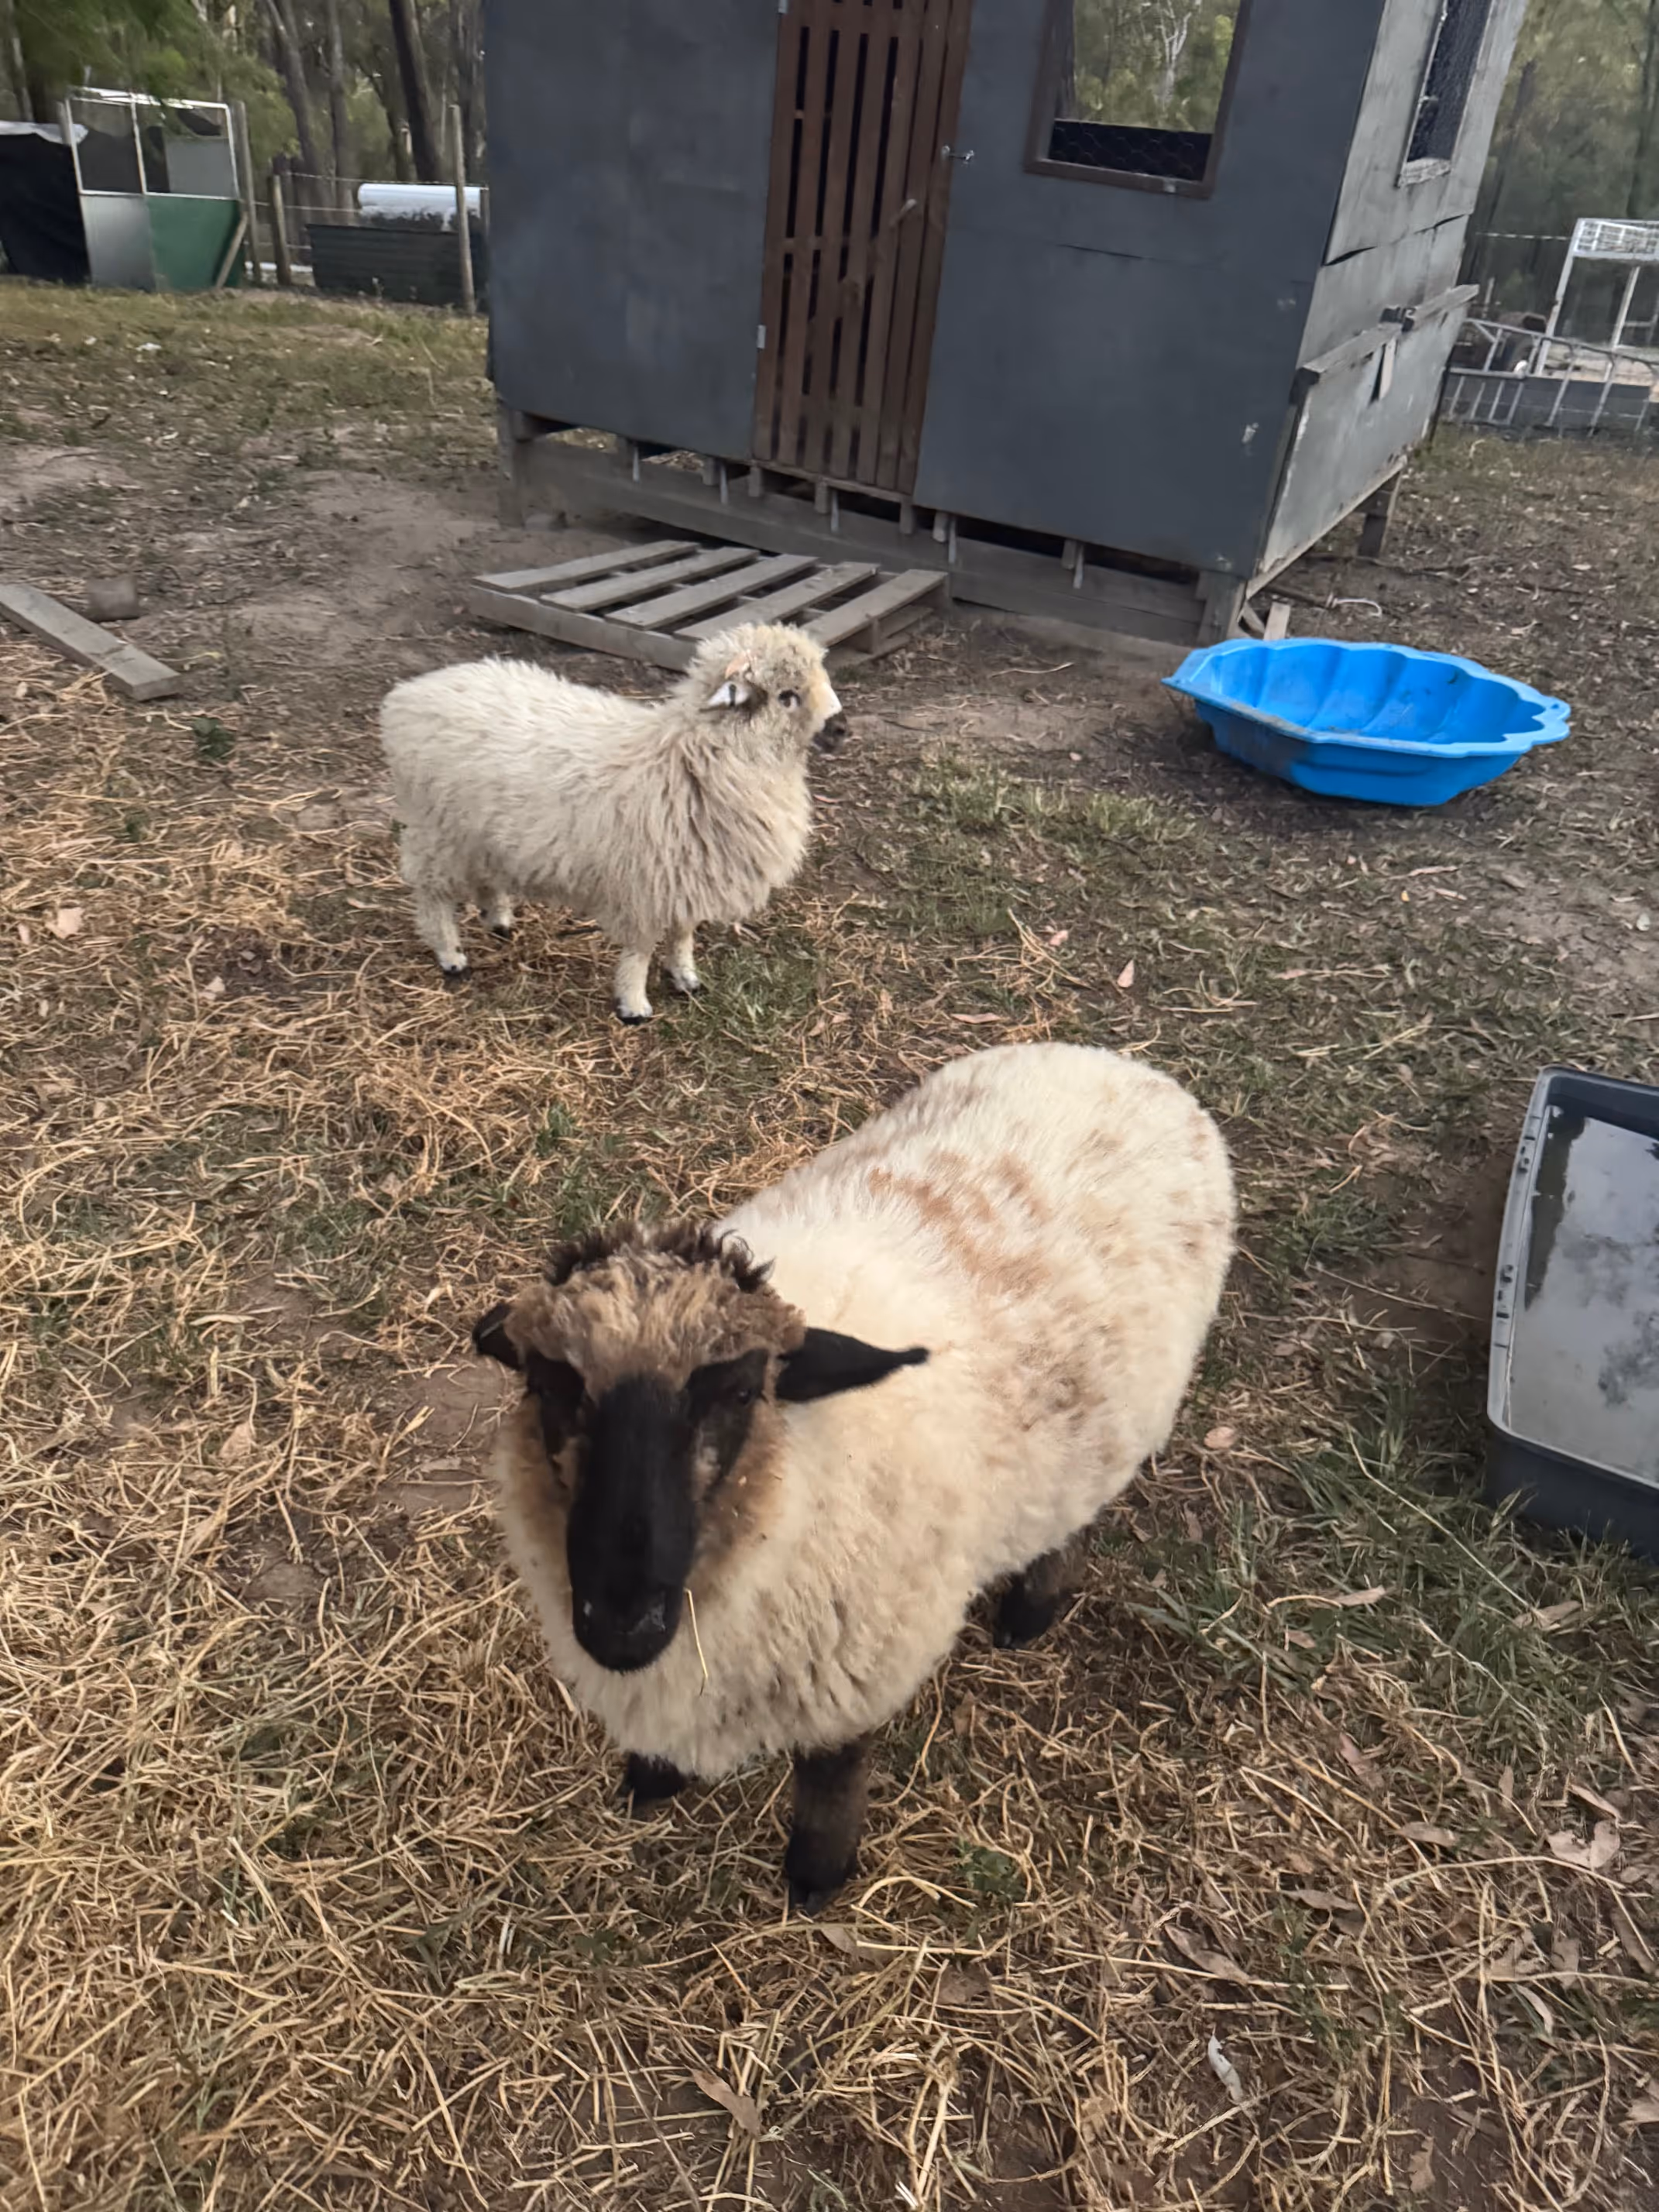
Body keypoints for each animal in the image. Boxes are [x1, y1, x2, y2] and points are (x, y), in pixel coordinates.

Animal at [379, 622, 847, 1020]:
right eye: (787, 695)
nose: (842, 728)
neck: (692, 756)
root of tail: (409, 694)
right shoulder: (648, 885)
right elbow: (640, 950)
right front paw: (634, 1005)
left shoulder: (688, 875)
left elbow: (683, 933)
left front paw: (686, 978)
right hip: (435, 830)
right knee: (432, 895)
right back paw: (451, 955)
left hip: (478, 830)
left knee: (485, 876)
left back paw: (498, 919)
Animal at [472, 1042, 1234, 1909]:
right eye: (548, 1387)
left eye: (742, 1391)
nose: (620, 1618)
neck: (791, 1483)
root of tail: (1125, 1067)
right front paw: (652, 1783)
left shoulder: (858, 1670)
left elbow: (831, 1777)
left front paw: (815, 1877)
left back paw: (1030, 1610)